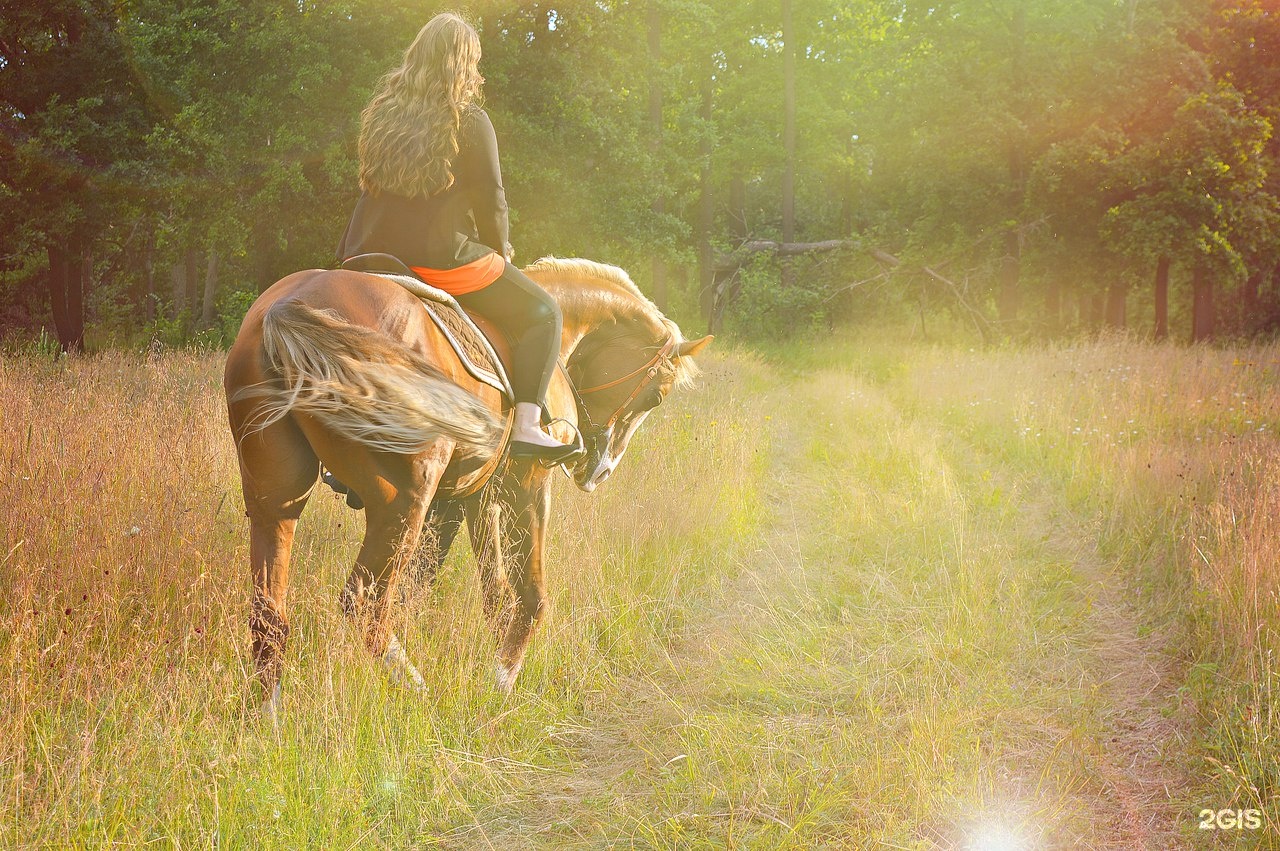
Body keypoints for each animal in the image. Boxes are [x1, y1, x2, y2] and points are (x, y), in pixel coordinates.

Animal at [225, 255, 716, 711]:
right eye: (657, 395)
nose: (600, 471)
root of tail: (288, 306)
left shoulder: (472, 500)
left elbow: (483, 593)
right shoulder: (526, 489)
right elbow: (530, 596)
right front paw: (502, 681)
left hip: (277, 497)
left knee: (270, 615)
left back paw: (271, 715)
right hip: (403, 499)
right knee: (363, 602)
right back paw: (416, 688)